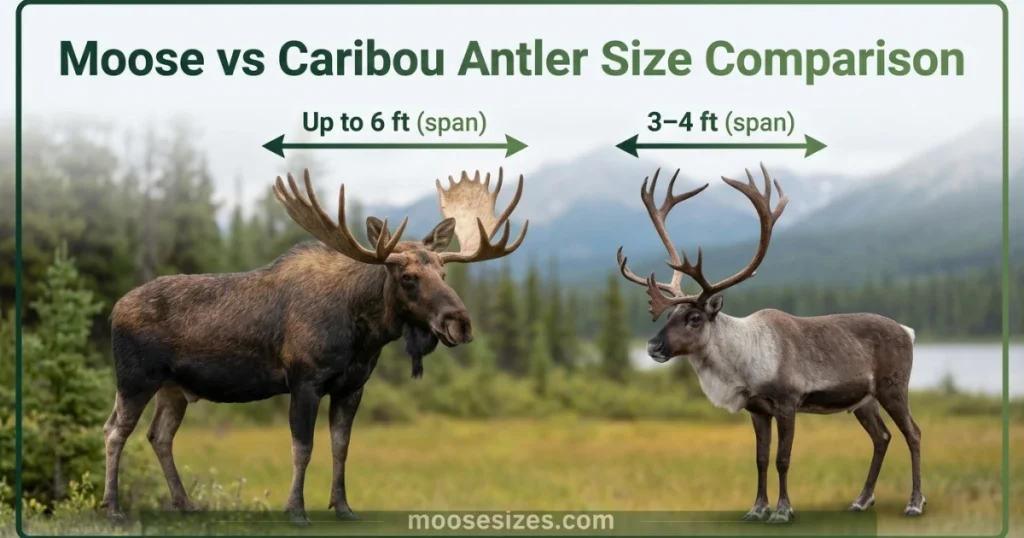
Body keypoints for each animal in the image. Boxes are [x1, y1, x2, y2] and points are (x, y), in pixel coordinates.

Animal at [102, 168, 528, 524]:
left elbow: (341, 447)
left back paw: (185, 503)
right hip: (135, 379)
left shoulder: (352, 387)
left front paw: (343, 507)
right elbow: (302, 447)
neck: (363, 334)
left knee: (159, 436)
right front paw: (296, 510)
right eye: (408, 276)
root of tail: (113, 310)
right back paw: (113, 508)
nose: (461, 322)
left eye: (443, 272)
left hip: (174, 388)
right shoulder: (304, 380)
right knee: (115, 431)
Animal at [615, 164, 923, 524]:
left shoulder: (788, 403)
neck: (742, 366)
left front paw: (783, 510)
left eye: (694, 318)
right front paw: (757, 508)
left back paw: (915, 503)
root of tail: (908, 331)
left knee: (912, 433)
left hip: (893, 388)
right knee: (882, 436)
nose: (653, 346)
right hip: (864, 400)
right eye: (668, 314)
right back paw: (861, 500)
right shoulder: (757, 410)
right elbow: (760, 459)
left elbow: (782, 459)